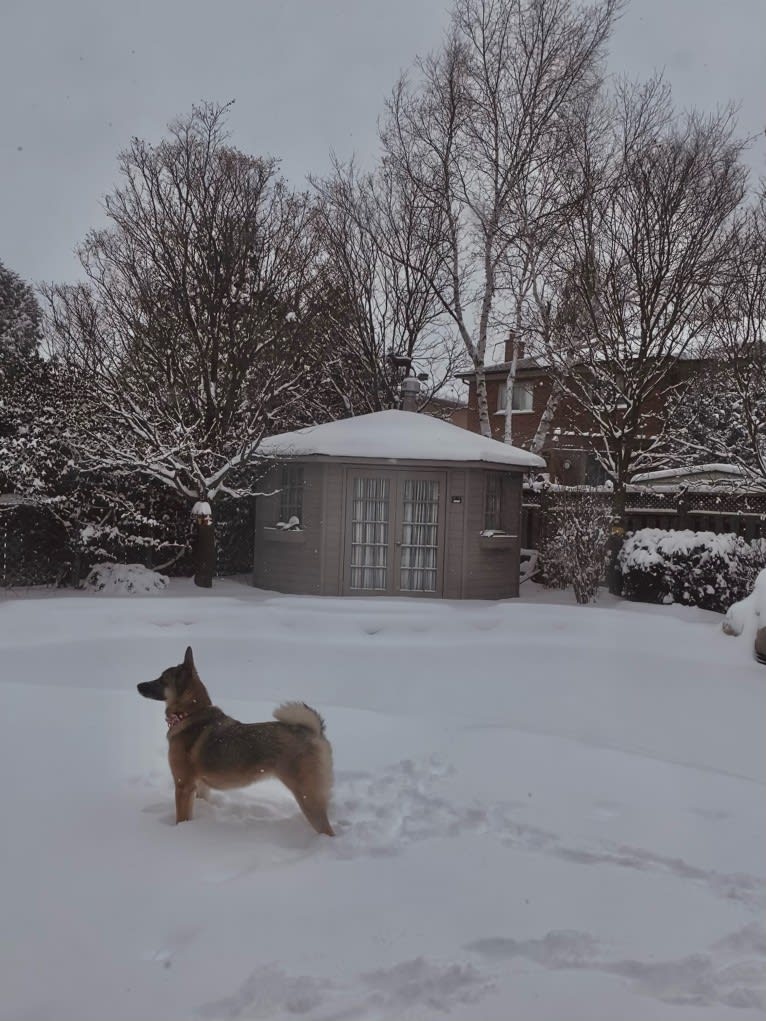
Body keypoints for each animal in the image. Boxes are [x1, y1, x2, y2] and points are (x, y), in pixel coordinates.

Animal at [138, 645, 334, 837]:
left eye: (162, 680)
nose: (138, 685)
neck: (190, 713)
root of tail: (313, 732)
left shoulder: (183, 786)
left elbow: (181, 818)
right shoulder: (200, 786)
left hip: (307, 797)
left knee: (327, 830)